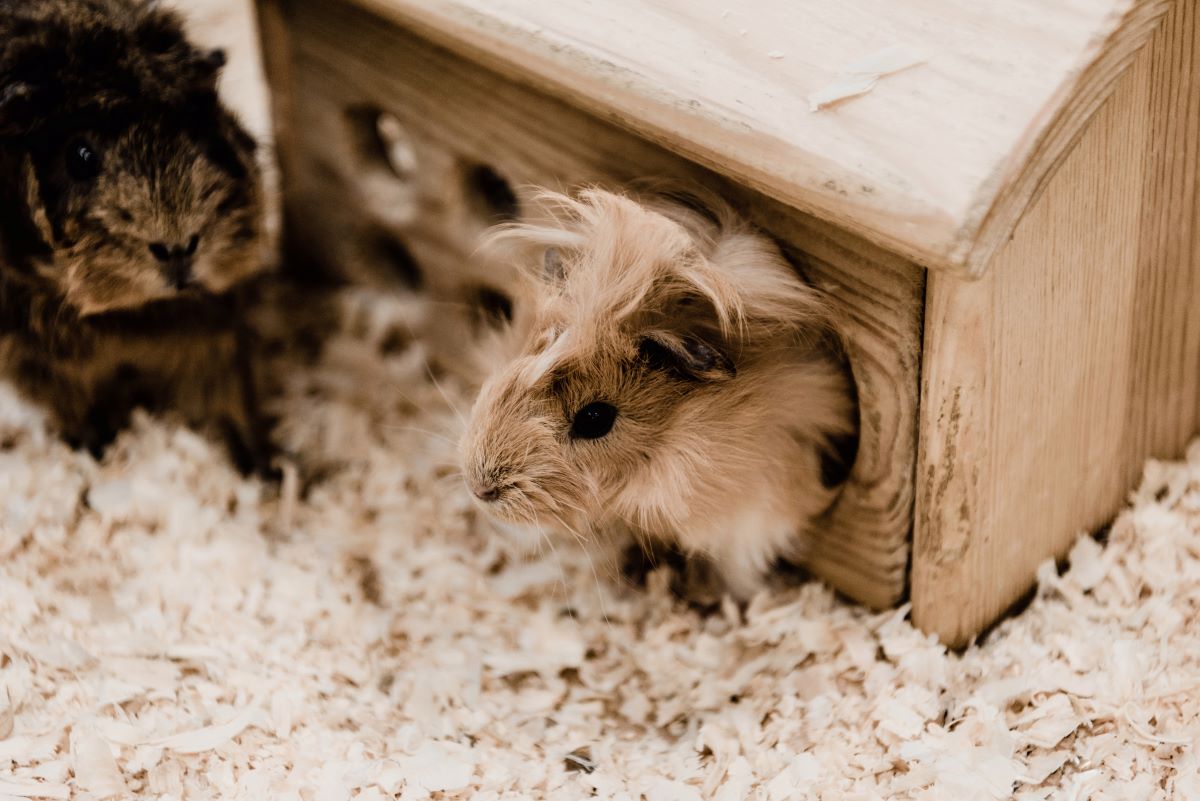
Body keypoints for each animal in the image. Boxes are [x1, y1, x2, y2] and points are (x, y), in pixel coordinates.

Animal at [0, 0, 272, 469]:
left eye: (196, 129)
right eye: (80, 155)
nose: (178, 247)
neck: (131, 316)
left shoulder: (216, 340)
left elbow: (233, 403)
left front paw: (271, 470)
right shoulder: (40, 364)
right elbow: (77, 412)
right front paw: (96, 453)